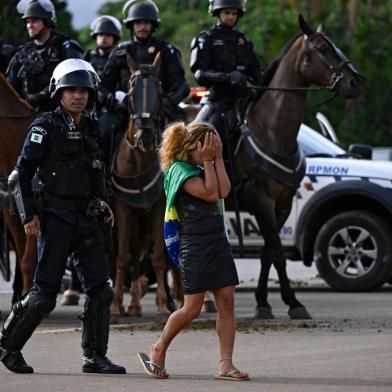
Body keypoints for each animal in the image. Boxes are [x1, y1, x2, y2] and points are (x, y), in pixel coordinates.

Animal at [109, 54, 178, 318]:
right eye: (130, 93)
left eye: (159, 93)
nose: (145, 137)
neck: (138, 160)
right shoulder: (123, 209)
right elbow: (122, 256)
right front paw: (116, 304)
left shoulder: (159, 208)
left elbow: (159, 256)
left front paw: (161, 302)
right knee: (135, 251)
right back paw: (135, 304)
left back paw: (174, 299)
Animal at [222, 16, 362, 320]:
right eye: (322, 48)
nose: (354, 82)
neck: (272, 133)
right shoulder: (261, 201)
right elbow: (276, 251)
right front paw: (293, 302)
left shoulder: (282, 205)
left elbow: (268, 254)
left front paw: (263, 302)